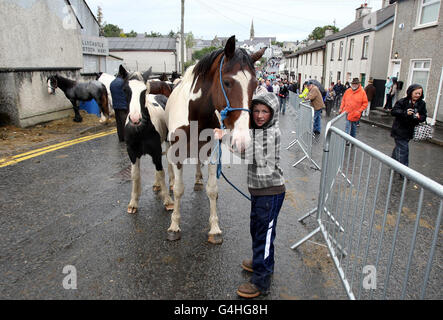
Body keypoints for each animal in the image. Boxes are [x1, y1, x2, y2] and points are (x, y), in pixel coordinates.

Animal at [118, 65, 175, 214]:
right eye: (125, 89)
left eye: (144, 91)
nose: (135, 118)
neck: (140, 131)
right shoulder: (132, 153)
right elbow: (135, 175)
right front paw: (133, 202)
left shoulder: (156, 151)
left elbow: (161, 172)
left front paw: (168, 201)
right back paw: (156, 184)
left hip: (167, 142)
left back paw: (172, 183)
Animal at [165, 35, 266, 244]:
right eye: (227, 82)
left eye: (255, 85)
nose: (242, 141)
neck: (195, 114)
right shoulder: (177, 152)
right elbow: (178, 189)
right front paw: (174, 225)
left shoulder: (211, 151)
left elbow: (212, 189)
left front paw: (214, 228)